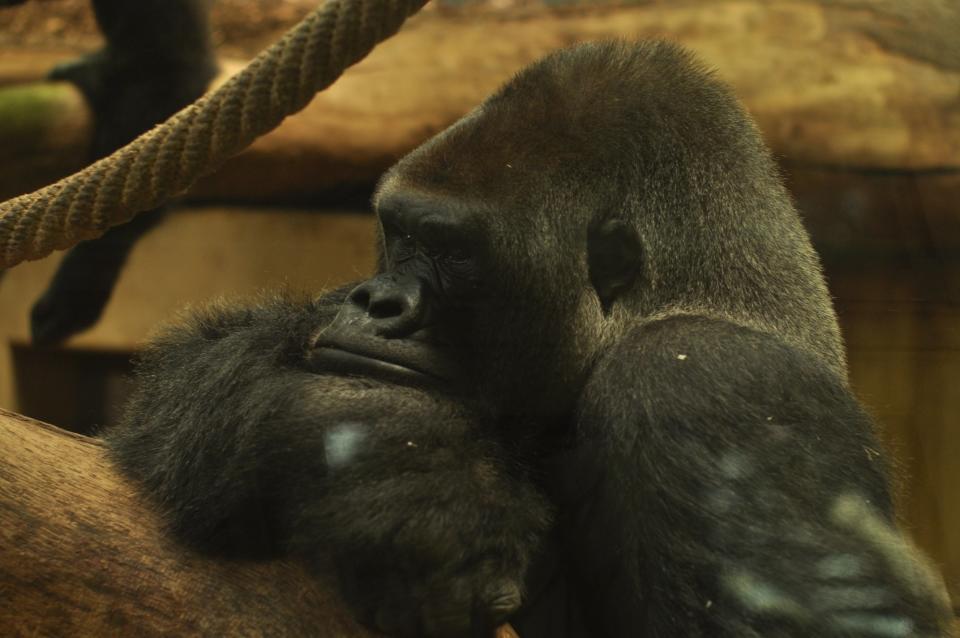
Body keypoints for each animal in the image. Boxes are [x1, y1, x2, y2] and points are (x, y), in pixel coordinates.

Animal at [105, 42, 952, 636]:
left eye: (450, 251)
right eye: (398, 233)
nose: (377, 302)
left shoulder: (712, 384)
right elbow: (214, 368)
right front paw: (394, 465)